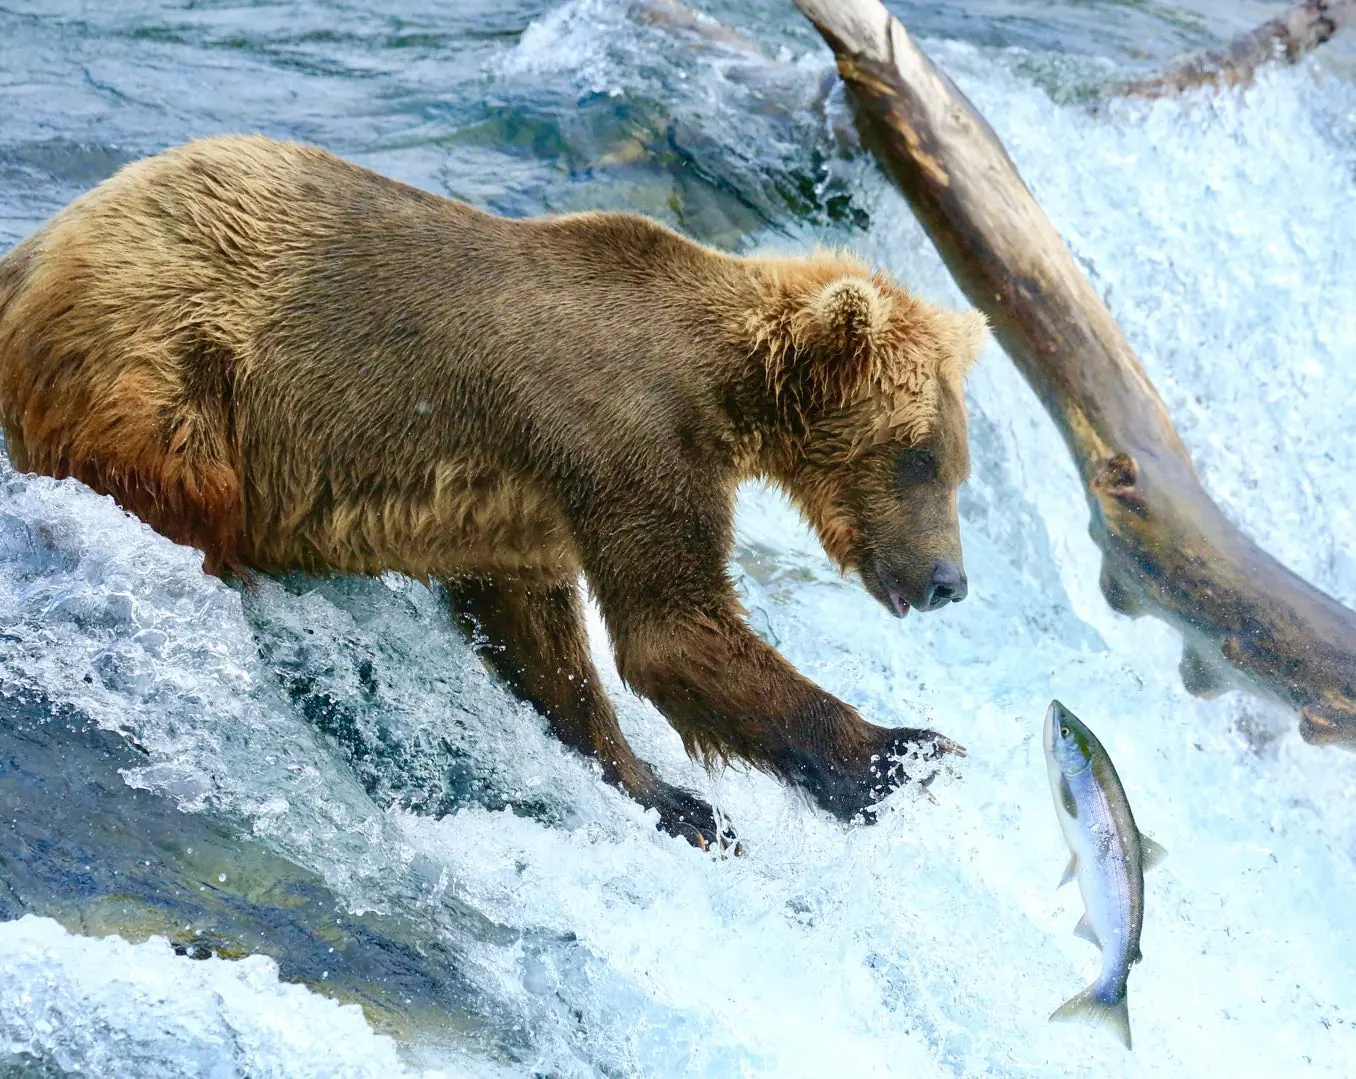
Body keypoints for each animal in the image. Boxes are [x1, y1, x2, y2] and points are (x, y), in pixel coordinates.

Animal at [0, 135, 987, 848]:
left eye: (954, 462)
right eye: (919, 455)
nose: (950, 580)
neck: (717, 388)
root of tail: (37, 248)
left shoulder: (529, 505)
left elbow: (546, 644)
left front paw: (673, 797)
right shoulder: (627, 445)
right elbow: (675, 631)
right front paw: (907, 754)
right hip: (171, 367)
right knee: (181, 490)